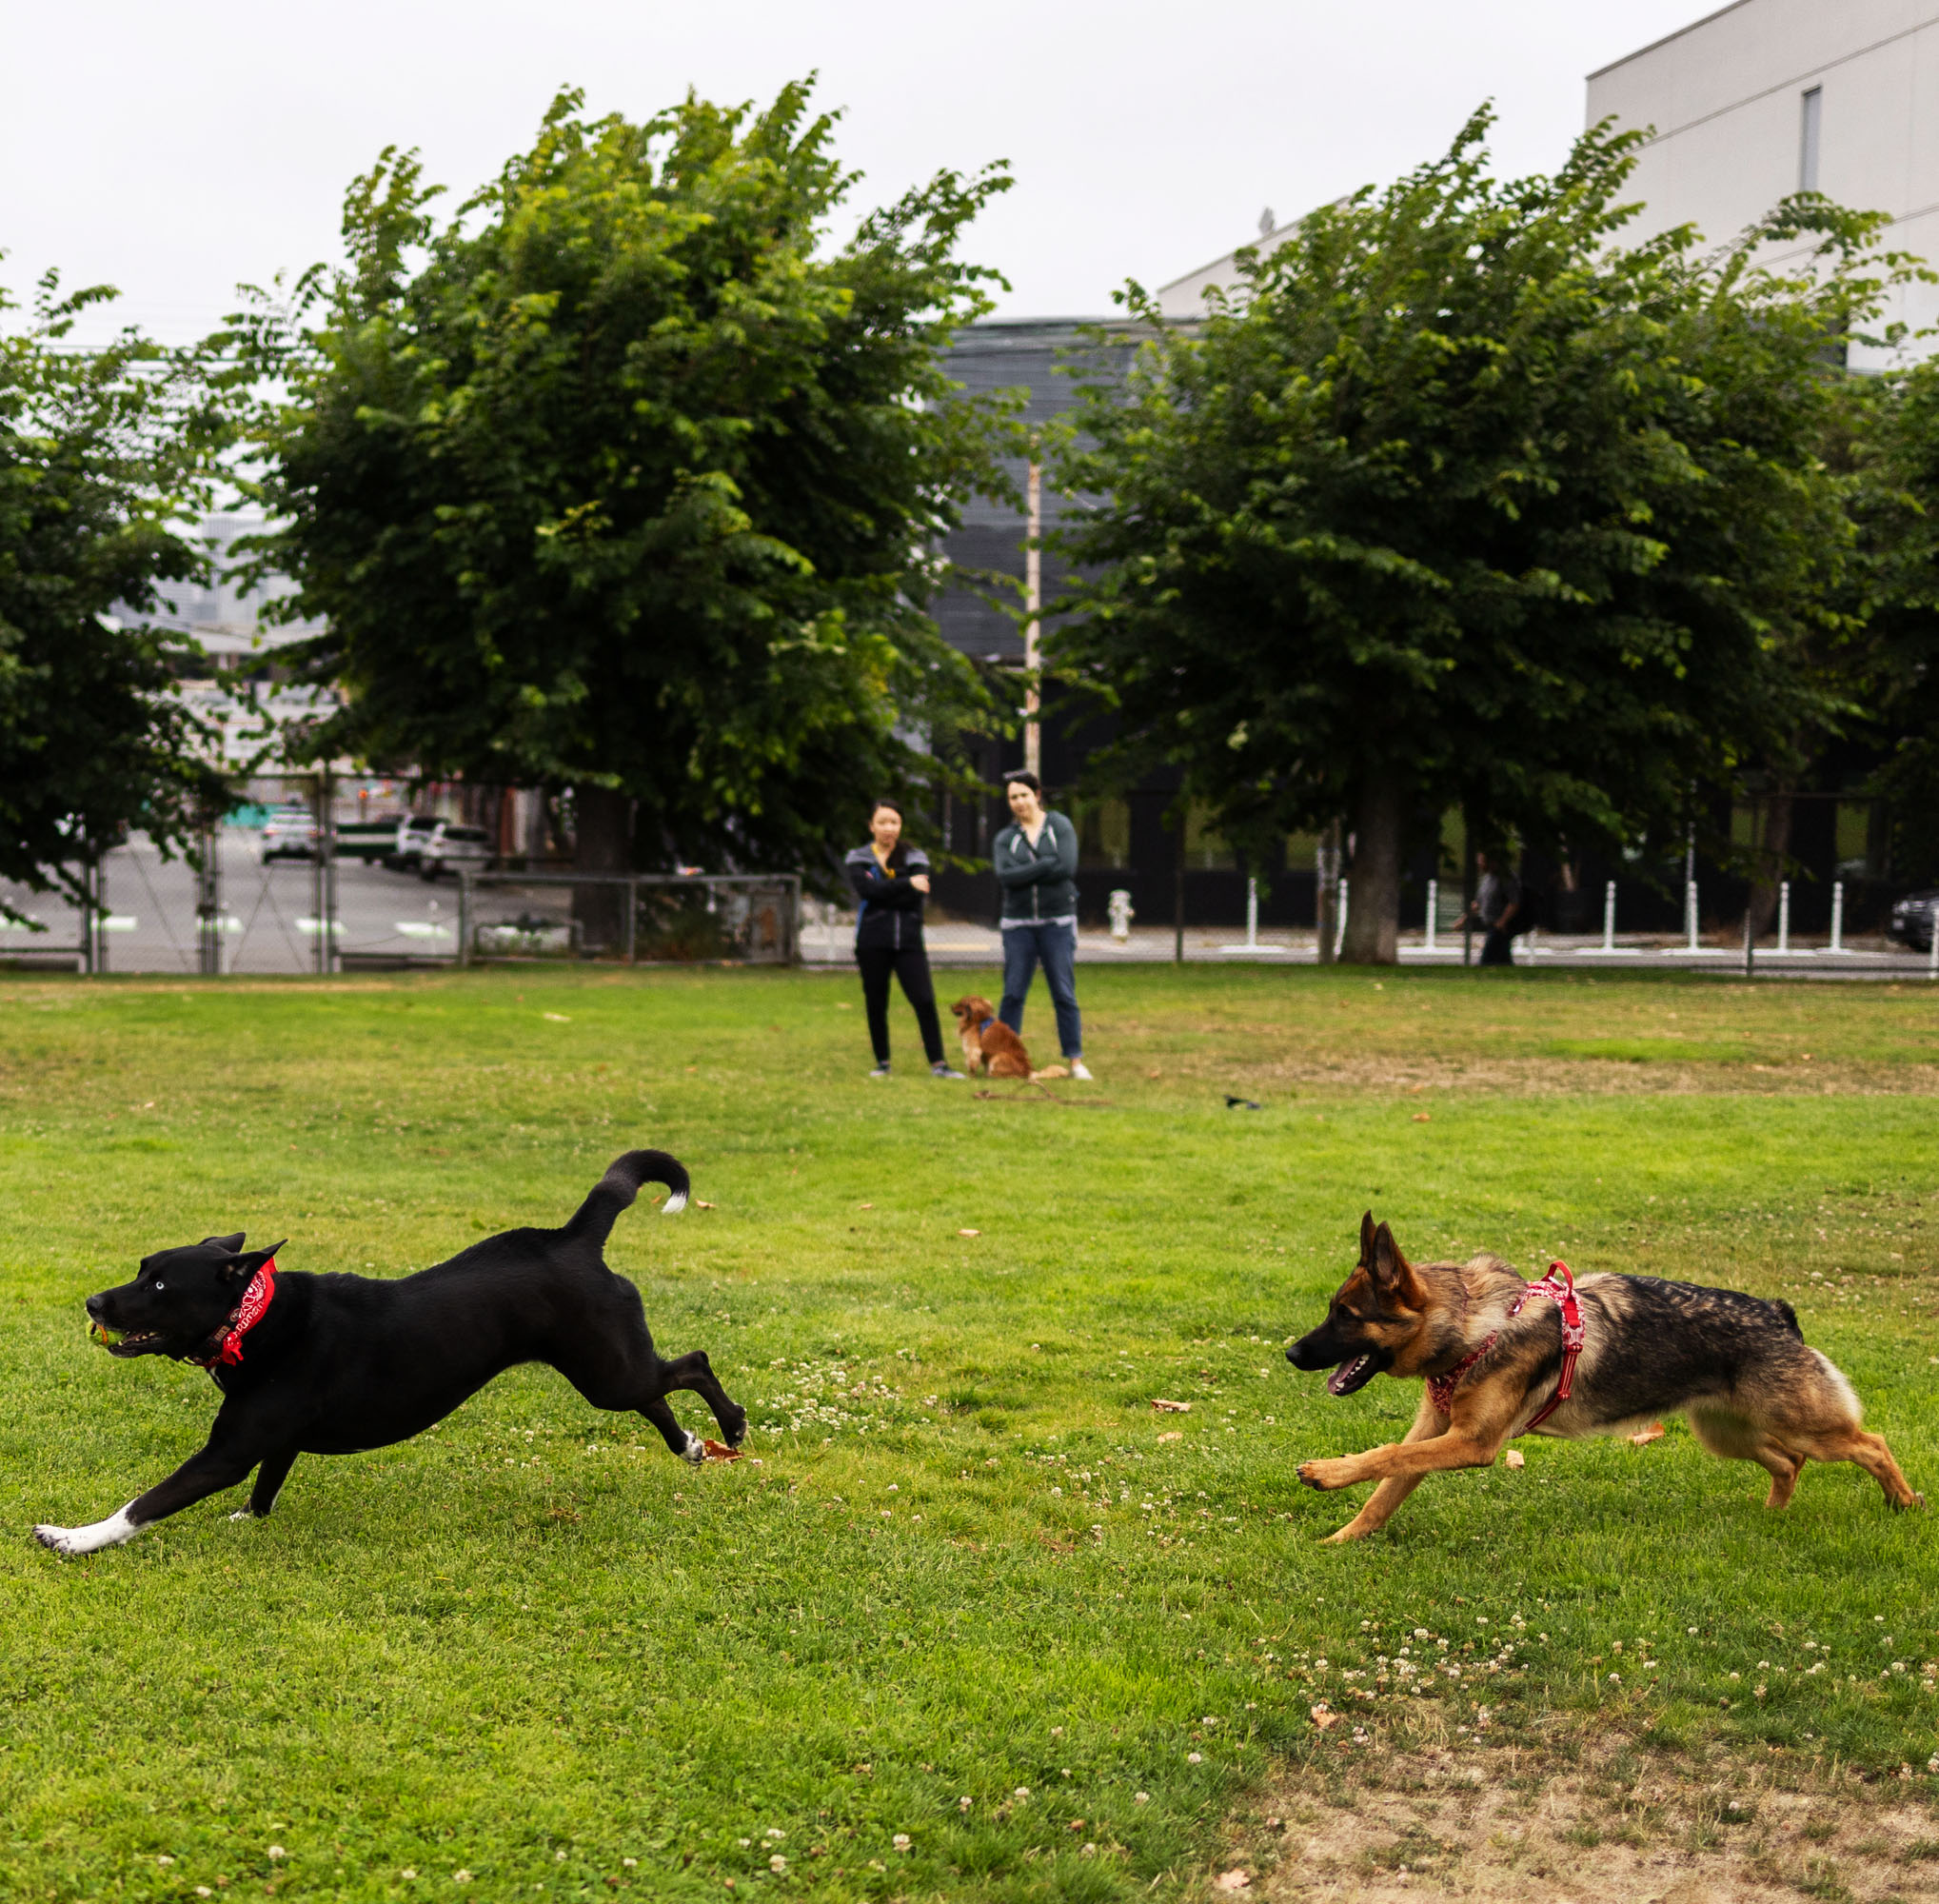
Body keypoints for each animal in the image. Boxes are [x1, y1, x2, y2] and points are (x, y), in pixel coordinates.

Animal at [39, 1155, 748, 1558]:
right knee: (656, 1392)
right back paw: (690, 1445)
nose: (93, 1301)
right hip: (607, 1368)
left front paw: (73, 1538)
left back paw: (733, 1426)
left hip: (606, 1368)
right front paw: (247, 1520)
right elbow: (267, 1486)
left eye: (160, 1286)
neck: (256, 1318)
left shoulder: (226, 1453)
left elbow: (142, 1505)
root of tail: (573, 1238)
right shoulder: (275, 1440)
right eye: (141, 1269)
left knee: (692, 1362)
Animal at [946, 992, 1070, 1078]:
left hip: (999, 1056)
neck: (980, 1019)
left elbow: (971, 1062)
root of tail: (1030, 1072)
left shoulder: (972, 1048)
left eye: (961, 1003)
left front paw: (971, 1076)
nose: (951, 1006)